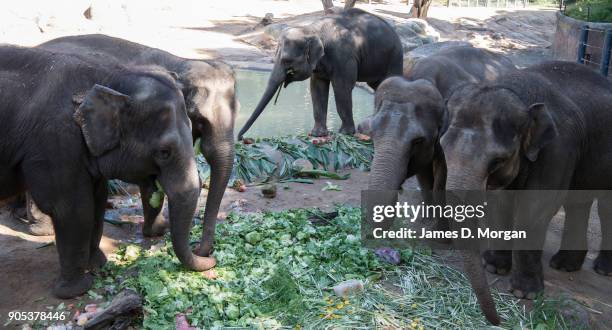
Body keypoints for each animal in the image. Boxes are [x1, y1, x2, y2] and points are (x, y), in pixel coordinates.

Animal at [0, 45, 215, 298]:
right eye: (164, 152)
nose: (207, 254)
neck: (109, 76)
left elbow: (98, 201)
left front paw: (98, 265)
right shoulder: (55, 143)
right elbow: (73, 209)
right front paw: (75, 290)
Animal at [31, 33, 237, 255]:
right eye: (200, 119)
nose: (199, 248)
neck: (179, 61)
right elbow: (151, 180)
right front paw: (158, 230)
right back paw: (41, 230)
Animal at [237, 7, 404, 139]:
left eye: (286, 60)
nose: (241, 137)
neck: (311, 30)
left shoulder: (343, 56)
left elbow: (342, 87)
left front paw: (345, 133)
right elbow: (317, 88)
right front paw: (317, 134)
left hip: (394, 55)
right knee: (378, 86)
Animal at [360, 45, 520, 324]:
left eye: (416, 141)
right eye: (371, 132)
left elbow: (442, 179)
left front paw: (442, 237)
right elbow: (425, 177)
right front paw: (428, 220)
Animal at [440, 60, 612, 306]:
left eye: (497, 160)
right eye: (442, 147)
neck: (520, 95)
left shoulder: (558, 149)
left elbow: (534, 209)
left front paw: (526, 293)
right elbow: (499, 203)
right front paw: (493, 267)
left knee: (606, 207)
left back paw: (603, 270)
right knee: (577, 203)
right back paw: (564, 266)